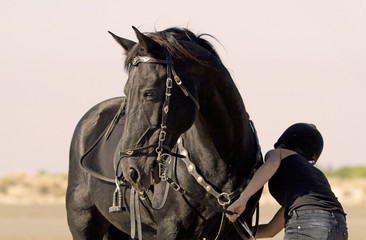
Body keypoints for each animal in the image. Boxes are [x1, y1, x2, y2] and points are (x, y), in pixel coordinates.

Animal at [66, 27, 264, 239]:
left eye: (149, 93)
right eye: (126, 92)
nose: (130, 171)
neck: (223, 163)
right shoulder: (170, 227)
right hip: (83, 225)